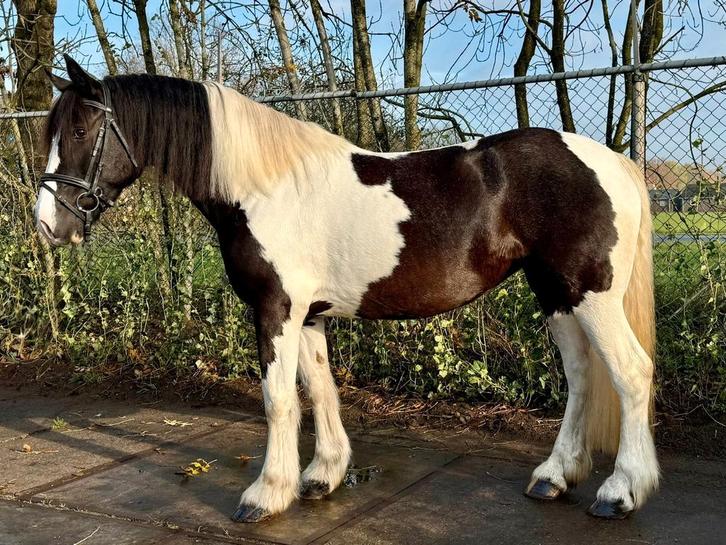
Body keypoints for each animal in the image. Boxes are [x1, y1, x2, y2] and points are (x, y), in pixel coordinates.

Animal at [35, 55, 658, 523]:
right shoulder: (307, 313)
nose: (48, 225)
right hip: (556, 292)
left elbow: (278, 399)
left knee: (630, 372)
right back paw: (555, 476)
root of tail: (614, 165)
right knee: (581, 375)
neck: (263, 188)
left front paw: (266, 494)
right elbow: (319, 389)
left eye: (82, 130)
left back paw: (620, 491)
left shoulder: (276, 309)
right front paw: (322, 476)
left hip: (591, 294)